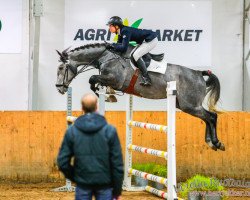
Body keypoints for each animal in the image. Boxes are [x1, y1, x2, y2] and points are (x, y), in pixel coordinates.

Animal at [55, 43, 226, 151]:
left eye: (61, 68)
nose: (59, 88)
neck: (106, 56)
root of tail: (199, 74)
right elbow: (95, 80)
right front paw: (107, 93)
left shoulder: (115, 79)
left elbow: (92, 79)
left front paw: (105, 94)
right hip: (185, 105)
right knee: (207, 118)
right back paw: (211, 143)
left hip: (189, 105)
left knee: (211, 116)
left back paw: (216, 143)